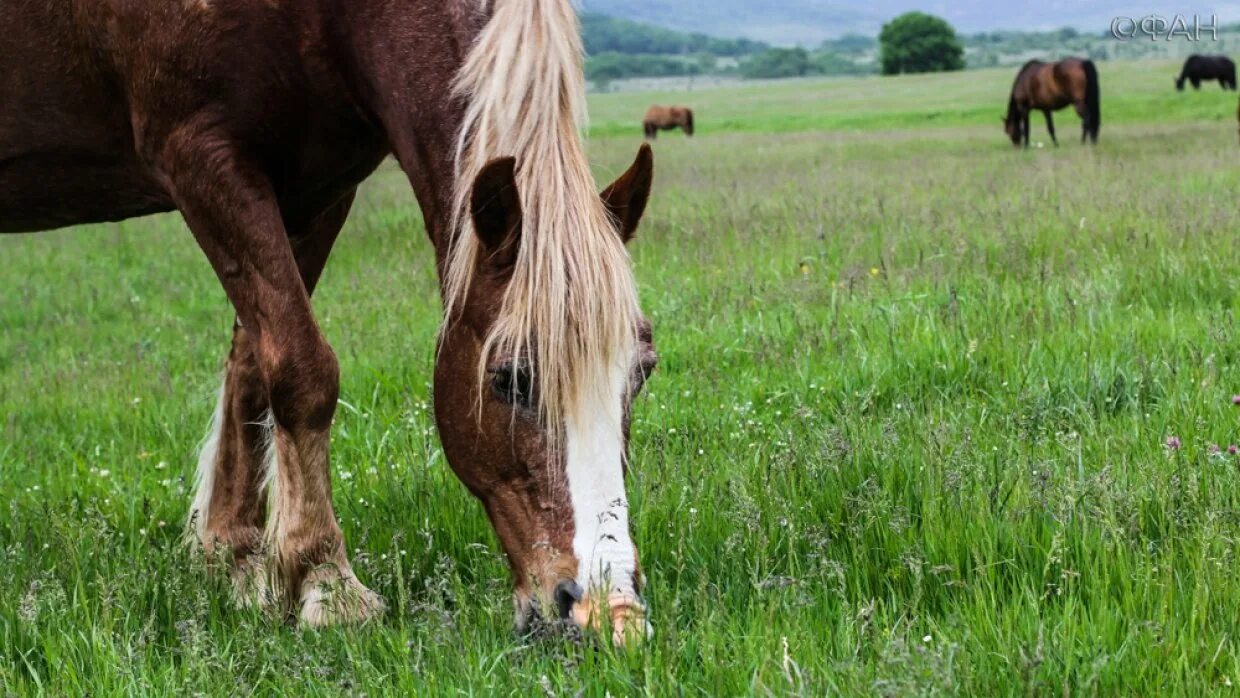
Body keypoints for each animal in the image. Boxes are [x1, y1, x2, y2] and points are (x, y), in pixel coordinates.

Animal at [0, 0, 659, 644]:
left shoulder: (316, 191)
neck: (324, 19)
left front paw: (235, 556)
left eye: (642, 373)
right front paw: (325, 581)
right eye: (510, 379)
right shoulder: (198, 155)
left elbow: (253, 363)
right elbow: (301, 367)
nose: (610, 615)